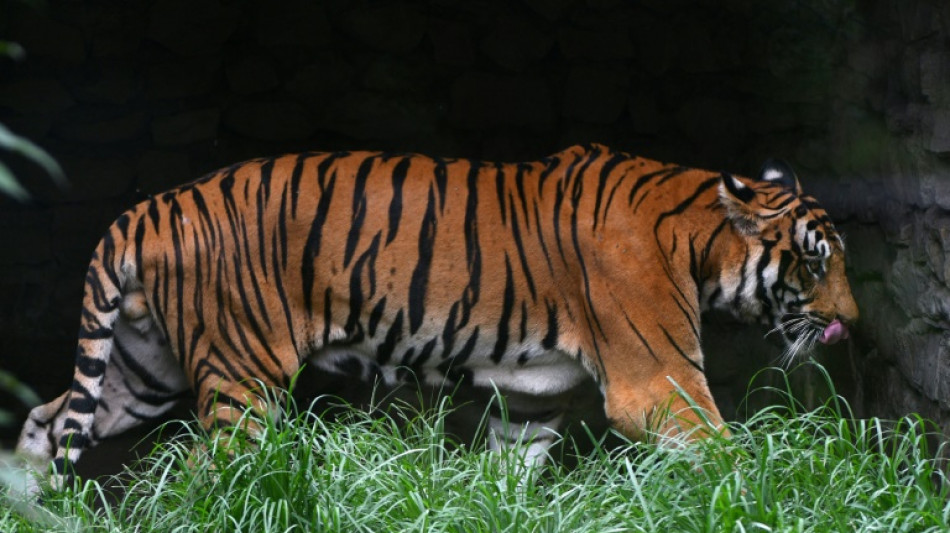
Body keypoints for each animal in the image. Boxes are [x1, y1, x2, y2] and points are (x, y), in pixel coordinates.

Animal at [16, 143, 858, 488]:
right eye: (815, 262)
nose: (850, 320)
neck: (697, 237)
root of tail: (150, 205)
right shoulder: (658, 386)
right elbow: (731, 458)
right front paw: (781, 498)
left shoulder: (532, 397)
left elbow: (512, 469)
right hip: (241, 379)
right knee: (201, 471)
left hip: (140, 368)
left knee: (46, 422)